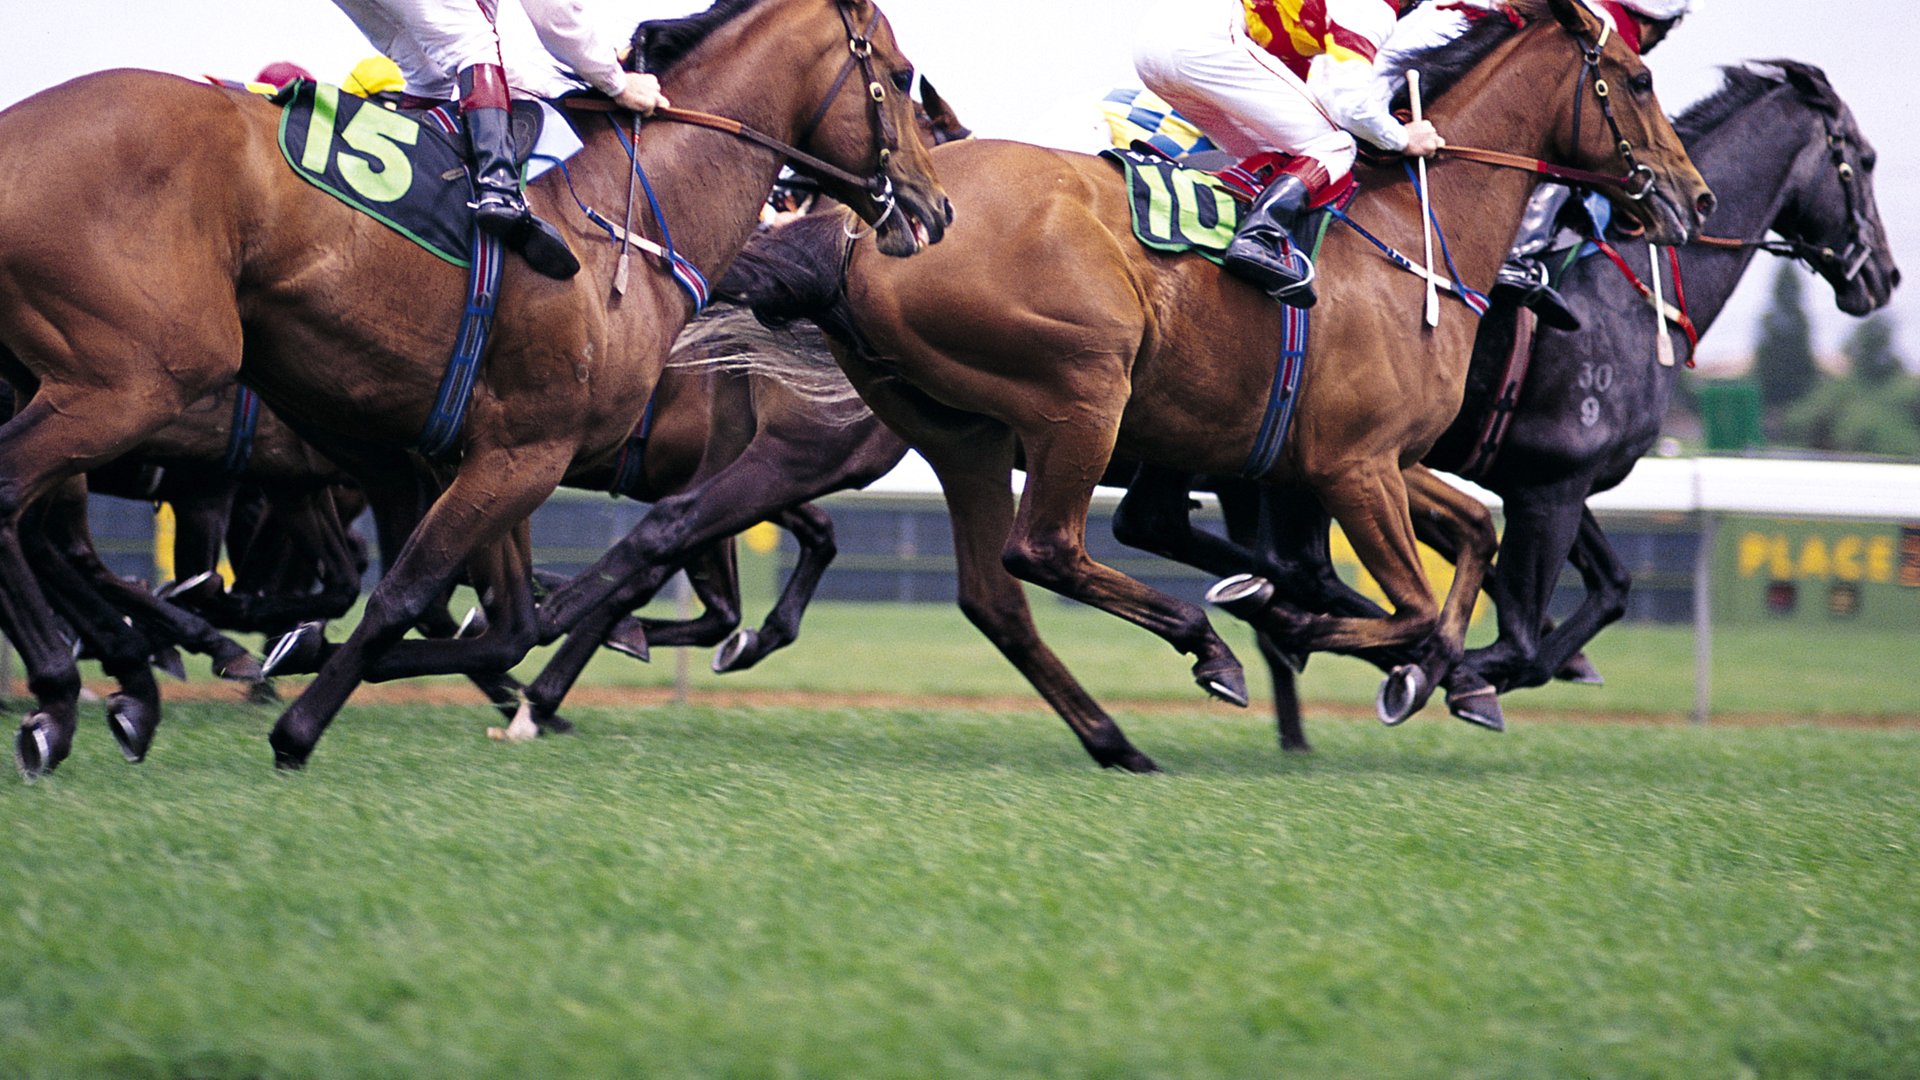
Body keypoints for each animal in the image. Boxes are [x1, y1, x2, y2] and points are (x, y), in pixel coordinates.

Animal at [0, 0, 944, 772]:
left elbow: (497, 621)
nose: (936, 209)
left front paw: (297, 654)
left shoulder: (473, 455)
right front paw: (297, 723)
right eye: (902, 79)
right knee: (21, 498)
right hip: (137, 378)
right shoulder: (517, 453)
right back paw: (67, 691)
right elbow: (410, 596)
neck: (627, 218)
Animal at [729, 0, 1712, 768]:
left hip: (960, 434)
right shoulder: (1354, 468)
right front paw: (1319, 632)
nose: (1692, 197)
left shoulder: (1375, 459)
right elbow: (1413, 607)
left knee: (995, 595)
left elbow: (1469, 538)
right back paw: (1208, 646)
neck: (1417, 235)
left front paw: (1427, 671)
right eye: (1636, 80)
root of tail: (875, 231)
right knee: (1044, 550)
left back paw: (1119, 738)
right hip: (1084, 393)